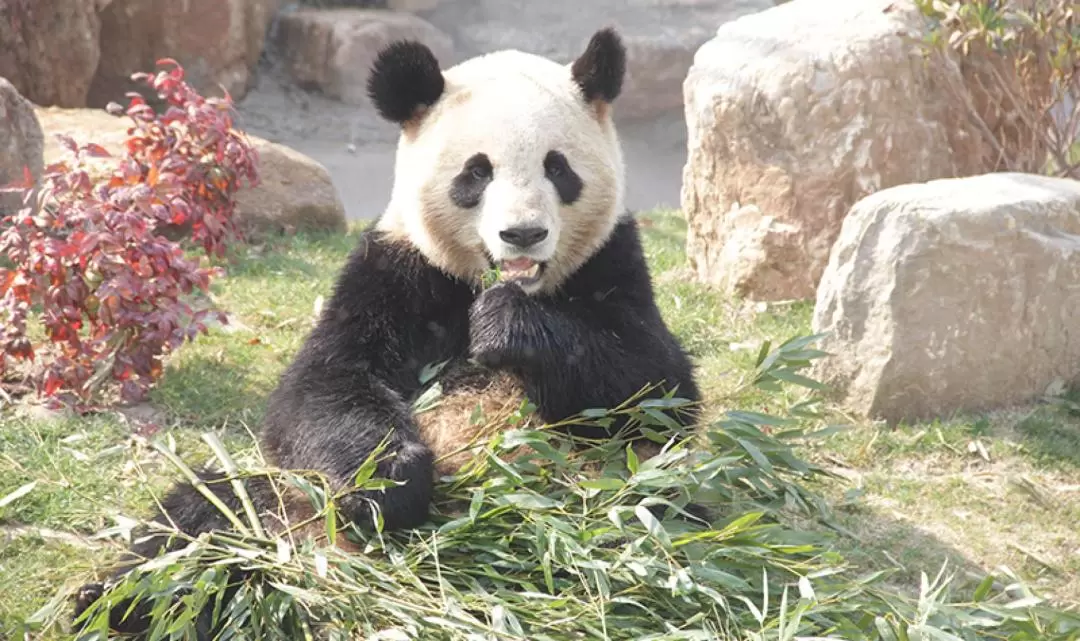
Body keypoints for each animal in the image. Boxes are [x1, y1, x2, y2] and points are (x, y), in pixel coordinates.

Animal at [73, 27, 699, 634]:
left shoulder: (612, 263)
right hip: (285, 495)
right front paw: (391, 478)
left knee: (659, 518)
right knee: (199, 518)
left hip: (616, 493)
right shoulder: (396, 270)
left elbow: (656, 387)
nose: (522, 234)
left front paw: (505, 327)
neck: (493, 281)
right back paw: (120, 601)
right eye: (477, 172)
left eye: (558, 167)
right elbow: (324, 385)